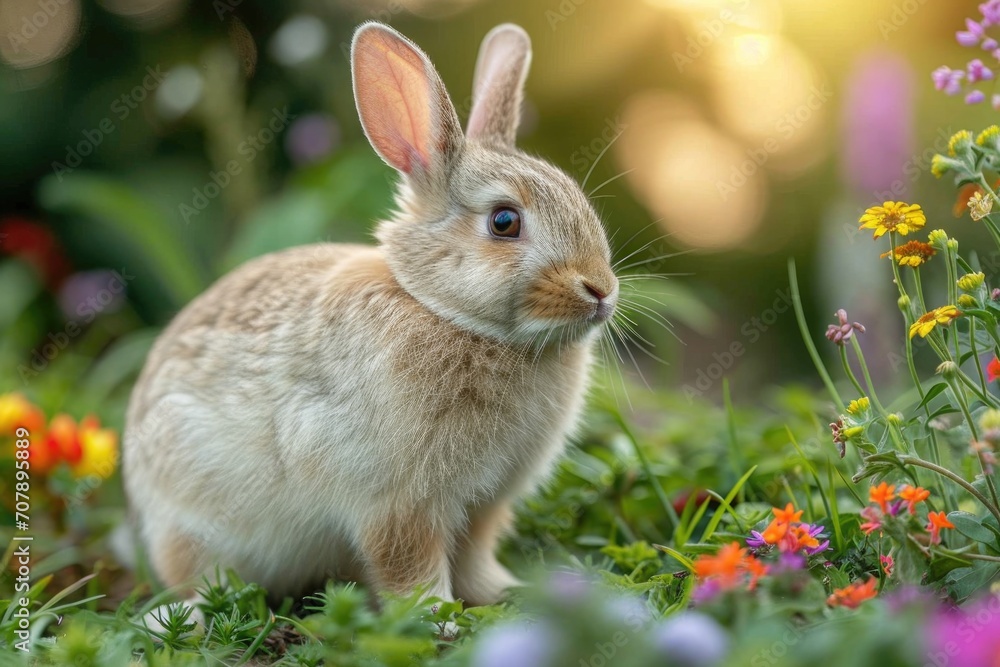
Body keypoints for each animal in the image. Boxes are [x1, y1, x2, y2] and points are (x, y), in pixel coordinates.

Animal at [122, 20, 619, 614]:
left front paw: (502, 592)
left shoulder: (486, 503)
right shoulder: (397, 503)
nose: (601, 290)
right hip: (191, 516)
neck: (444, 311)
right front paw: (435, 615)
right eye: (504, 221)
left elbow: (475, 555)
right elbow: (409, 563)